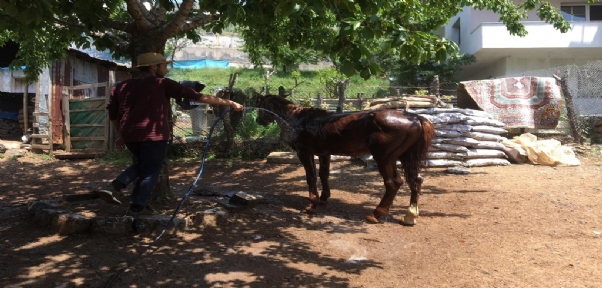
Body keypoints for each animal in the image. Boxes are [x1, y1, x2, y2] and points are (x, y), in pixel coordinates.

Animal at [255, 94, 434, 225]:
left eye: (260, 107)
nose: (258, 121)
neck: (297, 119)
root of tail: (416, 118)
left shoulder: (304, 152)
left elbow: (311, 176)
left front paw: (312, 204)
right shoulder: (324, 153)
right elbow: (324, 174)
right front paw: (323, 198)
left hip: (384, 158)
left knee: (393, 183)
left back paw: (376, 215)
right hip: (405, 158)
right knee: (416, 181)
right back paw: (410, 215)